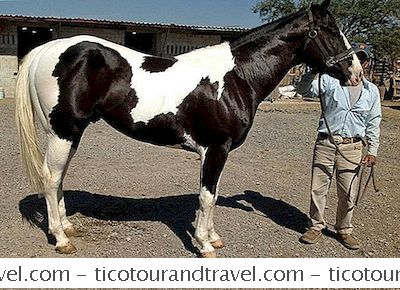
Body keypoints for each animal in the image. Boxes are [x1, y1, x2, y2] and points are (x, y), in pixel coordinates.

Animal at [14, 0, 362, 258]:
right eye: (331, 31)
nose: (356, 72)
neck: (236, 77)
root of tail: (47, 50)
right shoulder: (215, 148)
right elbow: (207, 197)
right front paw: (205, 245)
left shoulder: (216, 152)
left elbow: (212, 194)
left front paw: (212, 237)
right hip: (63, 132)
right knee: (51, 178)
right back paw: (61, 239)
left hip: (71, 133)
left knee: (58, 178)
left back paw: (67, 227)